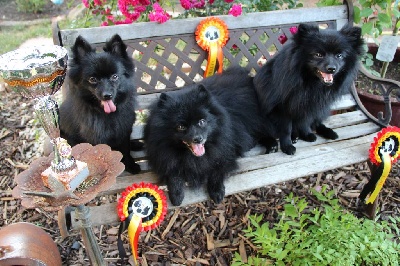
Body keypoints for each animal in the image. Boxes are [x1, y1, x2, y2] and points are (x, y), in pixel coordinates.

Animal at [58, 33, 141, 172]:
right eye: (93, 79)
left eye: (114, 76)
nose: (107, 95)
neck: (107, 115)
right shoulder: (96, 139)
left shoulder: (124, 131)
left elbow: (126, 150)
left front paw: (131, 165)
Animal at [144, 67, 272, 206]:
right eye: (181, 127)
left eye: (202, 121)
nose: (198, 138)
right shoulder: (164, 156)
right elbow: (172, 173)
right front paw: (176, 194)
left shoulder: (224, 151)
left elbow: (217, 168)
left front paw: (216, 191)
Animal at [255, 24, 364, 156]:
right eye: (318, 55)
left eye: (339, 55)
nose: (332, 68)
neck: (311, 83)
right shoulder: (282, 108)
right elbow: (286, 129)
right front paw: (287, 146)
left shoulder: (310, 105)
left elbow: (306, 122)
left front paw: (306, 134)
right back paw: (274, 143)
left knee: (317, 122)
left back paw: (327, 132)